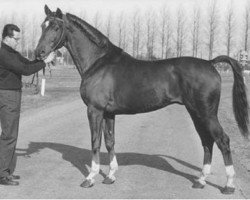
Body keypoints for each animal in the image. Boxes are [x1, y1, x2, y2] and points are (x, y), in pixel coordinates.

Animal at [34, 5, 248, 194]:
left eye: (56, 27)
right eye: (42, 26)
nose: (39, 53)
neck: (98, 62)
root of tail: (210, 63)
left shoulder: (95, 110)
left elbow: (95, 142)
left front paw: (90, 178)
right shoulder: (109, 113)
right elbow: (110, 142)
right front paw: (110, 176)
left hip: (206, 113)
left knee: (222, 140)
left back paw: (229, 185)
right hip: (195, 113)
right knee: (207, 141)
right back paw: (201, 181)